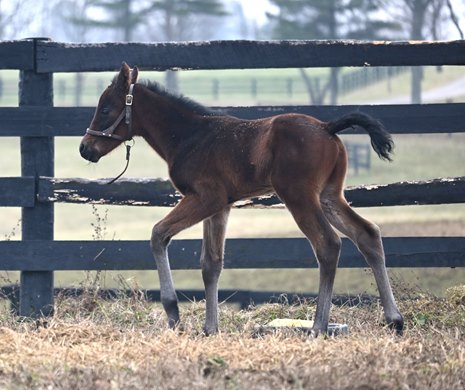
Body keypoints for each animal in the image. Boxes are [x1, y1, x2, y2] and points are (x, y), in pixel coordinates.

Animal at [80, 64, 402, 336]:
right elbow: (211, 263)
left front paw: (173, 312)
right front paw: (210, 329)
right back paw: (394, 320)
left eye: (106, 109)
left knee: (328, 245)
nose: (85, 148)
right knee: (367, 234)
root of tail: (326, 127)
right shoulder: (221, 205)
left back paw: (318, 327)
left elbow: (159, 234)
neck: (190, 136)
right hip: (329, 196)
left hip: (299, 196)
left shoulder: (205, 197)